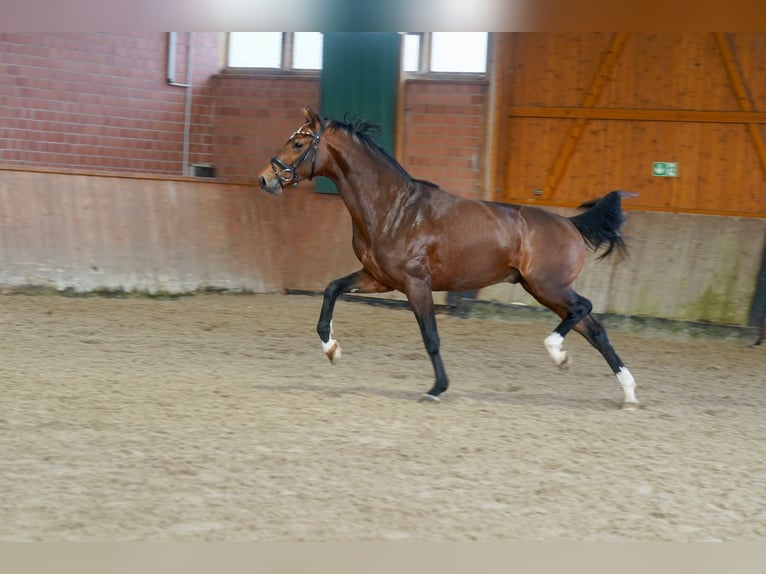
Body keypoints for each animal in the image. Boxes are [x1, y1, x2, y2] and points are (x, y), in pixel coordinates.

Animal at [260, 108, 640, 412]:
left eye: (298, 144)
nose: (265, 178)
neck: (394, 208)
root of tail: (570, 224)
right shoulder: (378, 278)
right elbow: (331, 289)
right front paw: (332, 349)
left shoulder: (416, 284)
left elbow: (431, 337)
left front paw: (436, 389)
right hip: (543, 290)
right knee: (595, 329)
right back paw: (628, 394)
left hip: (548, 286)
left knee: (584, 309)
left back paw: (558, 353)